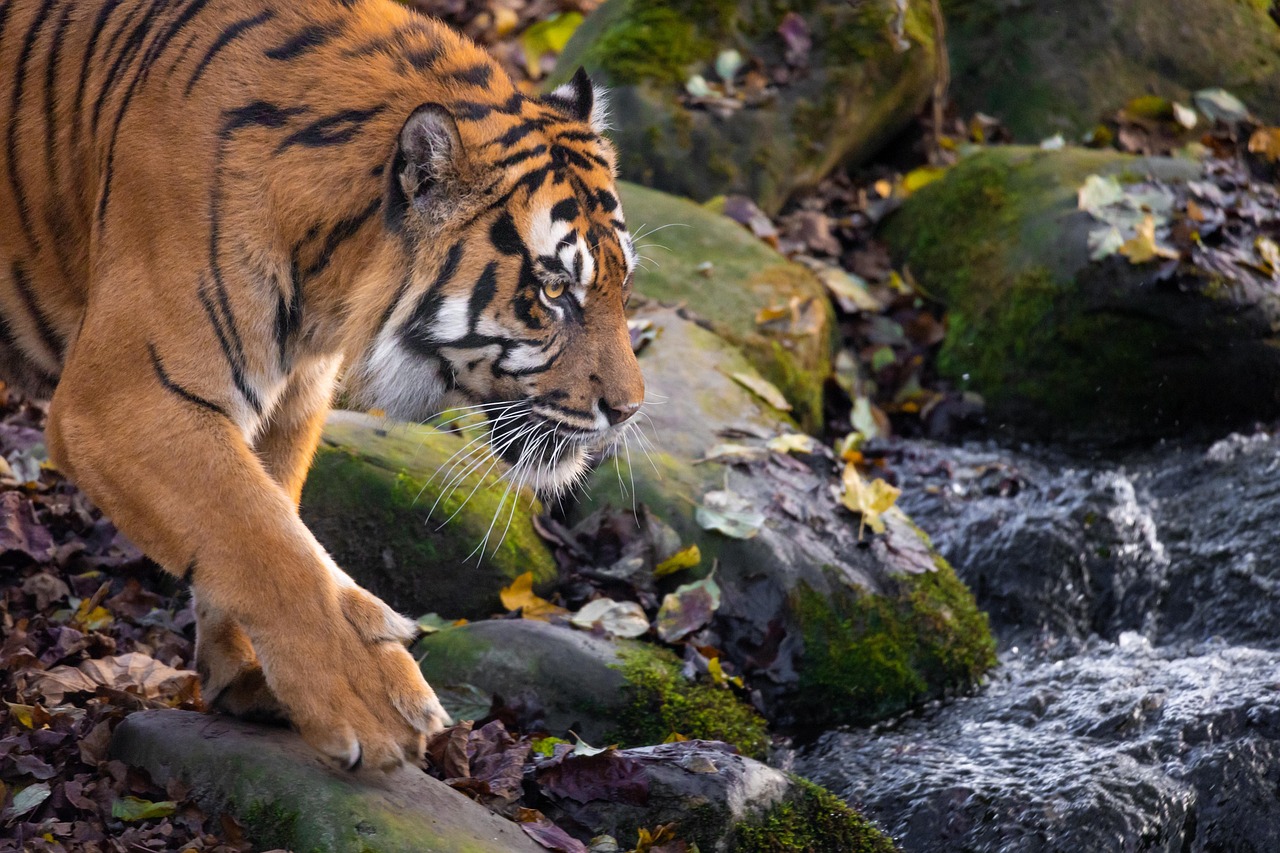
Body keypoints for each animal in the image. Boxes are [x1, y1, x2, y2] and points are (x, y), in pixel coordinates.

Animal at [0, 0, 640, 768]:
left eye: (621, 283)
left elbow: (267, 512)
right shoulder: (124, 402)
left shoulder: (292, 393)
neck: (329, 268)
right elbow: (262, 539)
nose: (629, 409)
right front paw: (371, 698)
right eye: (553, 290)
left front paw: (247, 678)